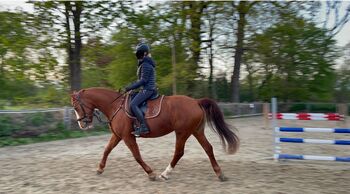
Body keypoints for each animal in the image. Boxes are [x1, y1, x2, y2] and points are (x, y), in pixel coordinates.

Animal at [71, 87, 241, 181]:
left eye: (76, 106)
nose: (81, 124)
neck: (115, 106)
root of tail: (196, 102)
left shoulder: (127, 136)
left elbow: (137, 155)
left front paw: (151, 173)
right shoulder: (118, 136)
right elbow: (107, 150)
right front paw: (100, 169)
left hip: (182, 132)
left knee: (179, 152)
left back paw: (165, 174)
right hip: (196, 131)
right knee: (208, 149)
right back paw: (220, 174)